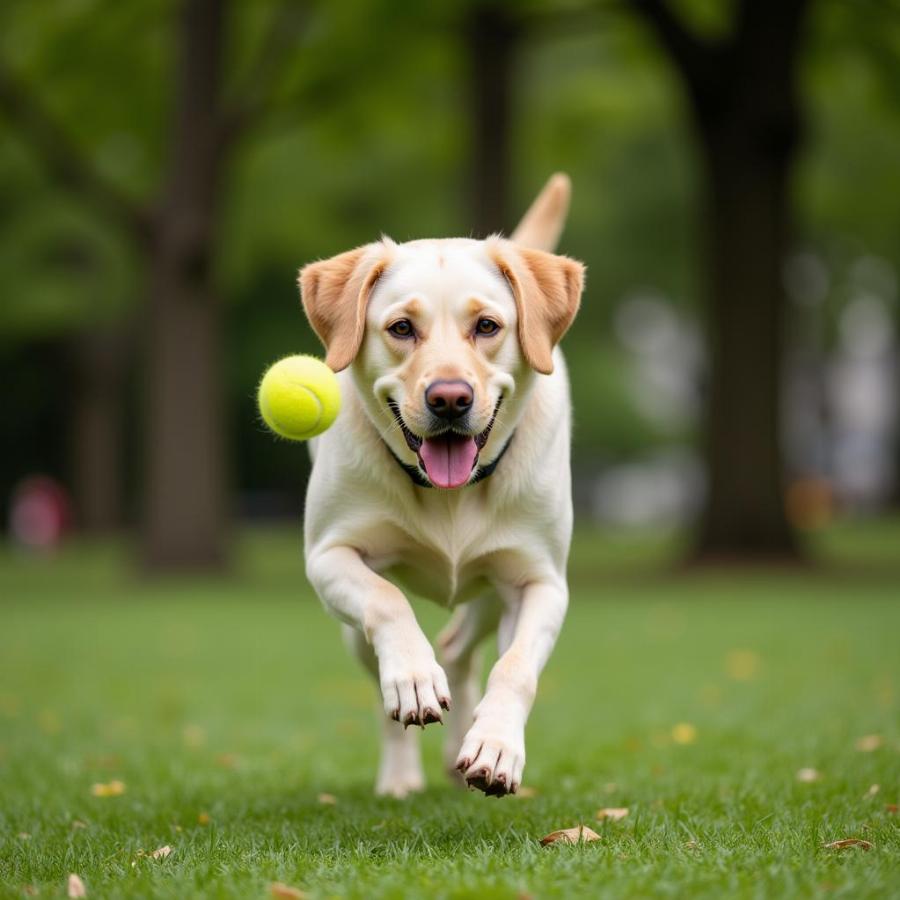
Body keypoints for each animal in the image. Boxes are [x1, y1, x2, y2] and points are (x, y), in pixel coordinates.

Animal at [298, 174, 588, 796]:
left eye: (488, 326)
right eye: (402, 328)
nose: (450, 398)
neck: (449, 495)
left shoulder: (540, 581)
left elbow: (516, 668)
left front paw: (496, 748)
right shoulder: (329, 556)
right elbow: (386, 602)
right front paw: (412, 678)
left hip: (489, 591)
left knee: (459, 649)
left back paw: (461, 753)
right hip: (352, 631)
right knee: (388, 677)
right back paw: (401, 775)